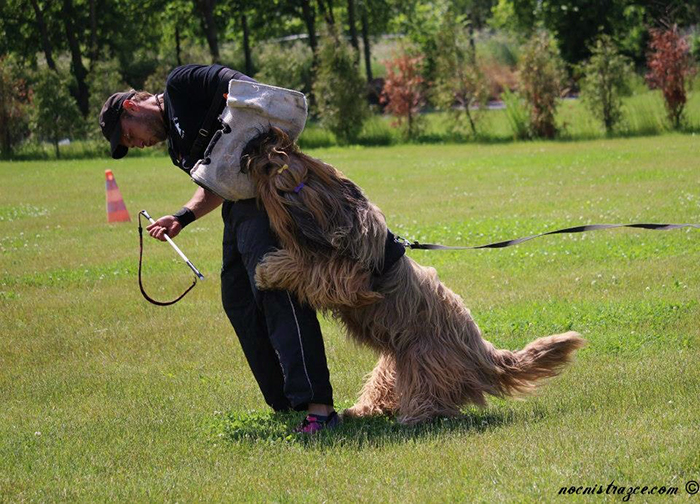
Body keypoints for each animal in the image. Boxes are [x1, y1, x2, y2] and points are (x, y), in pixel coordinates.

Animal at [241, 129, 584, 426]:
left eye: (272, 164)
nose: (256, 147)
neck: (327, 213)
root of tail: (483, 353)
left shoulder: (348, 277)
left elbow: (312, 267)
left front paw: (268, 270)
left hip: (424, 356)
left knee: (432, 394)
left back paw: (416, 416)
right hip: (392, 365)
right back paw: (363, 410)